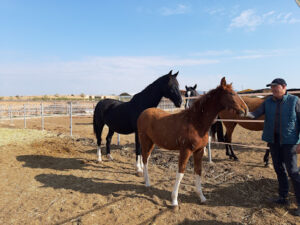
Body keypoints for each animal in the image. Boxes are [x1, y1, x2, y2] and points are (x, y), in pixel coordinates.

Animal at [138, 77, 248, 206]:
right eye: (231, 93)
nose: (245, 109)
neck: (196, 122)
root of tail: (143, 113)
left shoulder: (199, 151)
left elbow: (198, 172)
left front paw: (202, 197)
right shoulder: (185, 150)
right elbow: (180, 173)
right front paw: (174, 201)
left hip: (152, 142)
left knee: (146, 158)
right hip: (145, 141)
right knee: (145, 158)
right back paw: (147, 183)